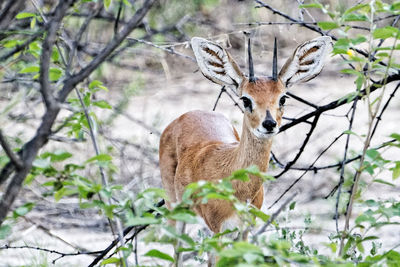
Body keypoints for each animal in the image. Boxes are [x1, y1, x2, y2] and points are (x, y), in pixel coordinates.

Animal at [159, 34, 332, 258]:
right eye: (246, 99)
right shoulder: (218, 233)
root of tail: (183, 116)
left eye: (283, 98)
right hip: (175, 210)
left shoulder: (244, 231)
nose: (269, 124)